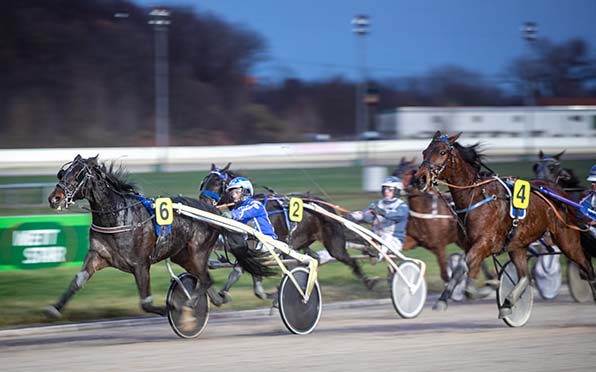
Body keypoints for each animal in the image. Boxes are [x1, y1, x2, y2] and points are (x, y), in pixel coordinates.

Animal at [44, 154, 270, 320]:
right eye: (63, 173)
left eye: (78, 175)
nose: (55, 198)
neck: (119, 217)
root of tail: (210, 211)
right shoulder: (97, 255)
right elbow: (78, 280)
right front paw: (54, 307)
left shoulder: (140, 264)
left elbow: (146, 303)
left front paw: (170, 307)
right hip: (182, 255)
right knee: (205, 281)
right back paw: (216, 299)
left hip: (197, 251)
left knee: (205, 280)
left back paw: (190, 302)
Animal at [414, 132, 596, 316]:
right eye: (424, 152)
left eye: (442, 152)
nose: (420, 178)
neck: (476, 195)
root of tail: (559, 191)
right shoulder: (471, 245)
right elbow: (468, 271)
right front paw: (478, 289)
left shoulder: (485, 242)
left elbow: (463, 267)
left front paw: (461, 294)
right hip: (518, 245)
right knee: (525, 276)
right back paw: (508, 302)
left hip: (567, 239)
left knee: (587, 267)